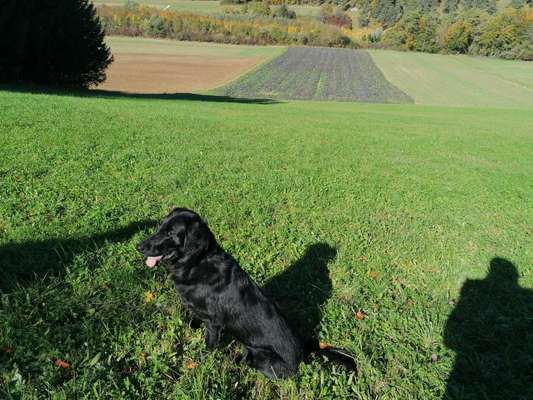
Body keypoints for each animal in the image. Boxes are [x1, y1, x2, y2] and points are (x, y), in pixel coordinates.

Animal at [137, 208, 356, 380]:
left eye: (170, 233)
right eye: (159, 227)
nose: (139, 246)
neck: (198, 263)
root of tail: (304, 352)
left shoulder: (214, 323)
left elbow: (209, 345)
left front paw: (204, 360)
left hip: (262, 356)